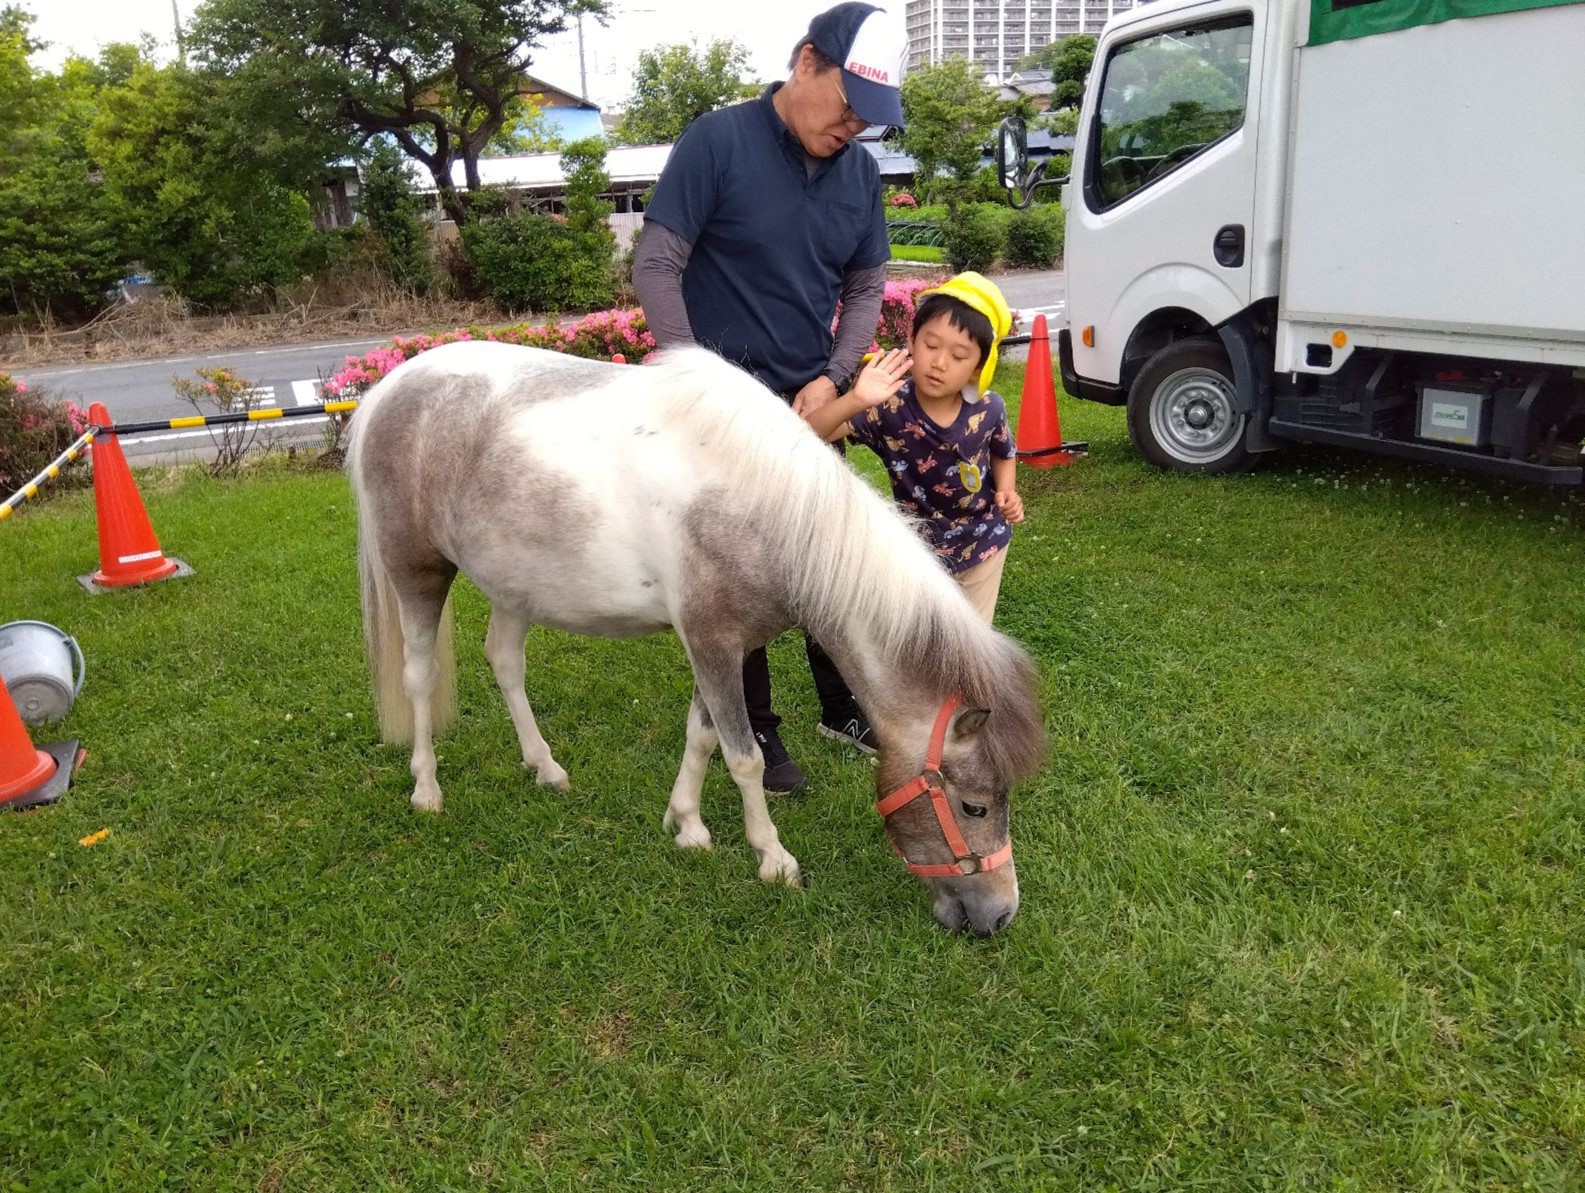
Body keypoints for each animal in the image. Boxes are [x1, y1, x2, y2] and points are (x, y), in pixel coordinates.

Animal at [345, 340, 1047, 936]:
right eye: (976, 806)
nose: (1001, 915)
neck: (771, 509)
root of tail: (388, 390)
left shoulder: (726, 646)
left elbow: (703, 735)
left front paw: (686, 826)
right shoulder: (712, 643)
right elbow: (745, 756)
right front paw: (772, 857)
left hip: (515, 584)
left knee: (505, 662)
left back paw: (545, 767)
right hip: (416, 571)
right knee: (419, 677)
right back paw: (426, 789)